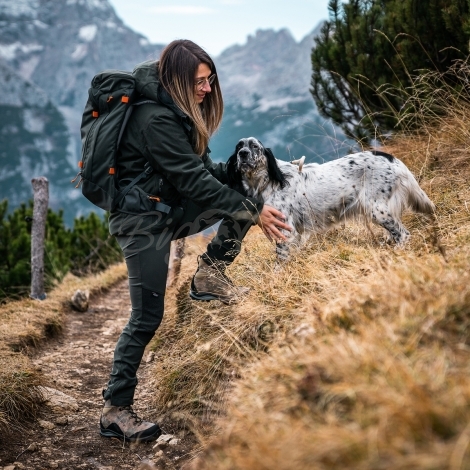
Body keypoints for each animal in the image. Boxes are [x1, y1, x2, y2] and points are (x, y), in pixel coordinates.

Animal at [226, 136, 436, 260]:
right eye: (238, 147)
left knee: (403, 234)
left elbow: (281, 260)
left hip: (377, 210)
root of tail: (391, 158)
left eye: (254, 146)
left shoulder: (285, 230)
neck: (267, 181)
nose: (242, 154)